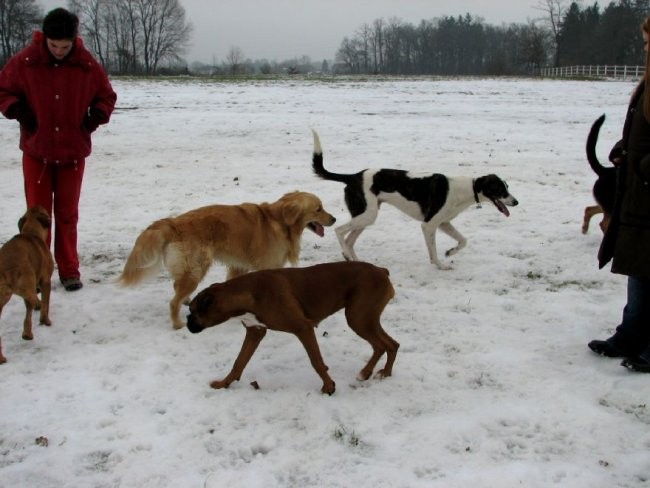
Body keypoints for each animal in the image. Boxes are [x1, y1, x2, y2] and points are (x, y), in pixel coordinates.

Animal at [0, 206, 53, 362]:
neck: (30, 232)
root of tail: (8, 269)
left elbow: (28, 313)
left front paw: (27, 334)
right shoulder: (45, 281)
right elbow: (44, 303)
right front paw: (45, 321)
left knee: (31, 303)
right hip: (28, 285)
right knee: (37, 301)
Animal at [117, 191, 336, 328]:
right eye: (318, 209)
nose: (334, 219)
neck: (280, 221)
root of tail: (174, 223)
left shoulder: (238, 266)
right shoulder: (267, 266)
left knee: (177, 288)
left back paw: (187, 300)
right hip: (197, 268)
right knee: (173, 301)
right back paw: (177, 323)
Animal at [185, 262, 398, 394]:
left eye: (193, 311)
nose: (187, 322)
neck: (249, 294)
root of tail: (381, 270)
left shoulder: (303, 328)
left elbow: (316, 361)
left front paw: (329, 387)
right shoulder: (255, 332)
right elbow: (239, 362)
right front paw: (223, 384)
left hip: (358, 319)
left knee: (386, 345)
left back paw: (384, 373)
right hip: (365, 319)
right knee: (388, 345)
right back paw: (370, 373)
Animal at [312, 130, 520, 270]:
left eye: (507, 187)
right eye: (500, 189)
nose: (516, 202)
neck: (465, 188)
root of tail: (353, 176)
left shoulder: (443, 223)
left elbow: (463, 240)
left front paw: (450, 252)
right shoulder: (429, 225)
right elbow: (433, 250)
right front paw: (440, 265)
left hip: (365, 217)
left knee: (349, 240)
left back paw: (353, 260)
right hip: (366, 215)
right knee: (340, 231)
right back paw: (348, 255)